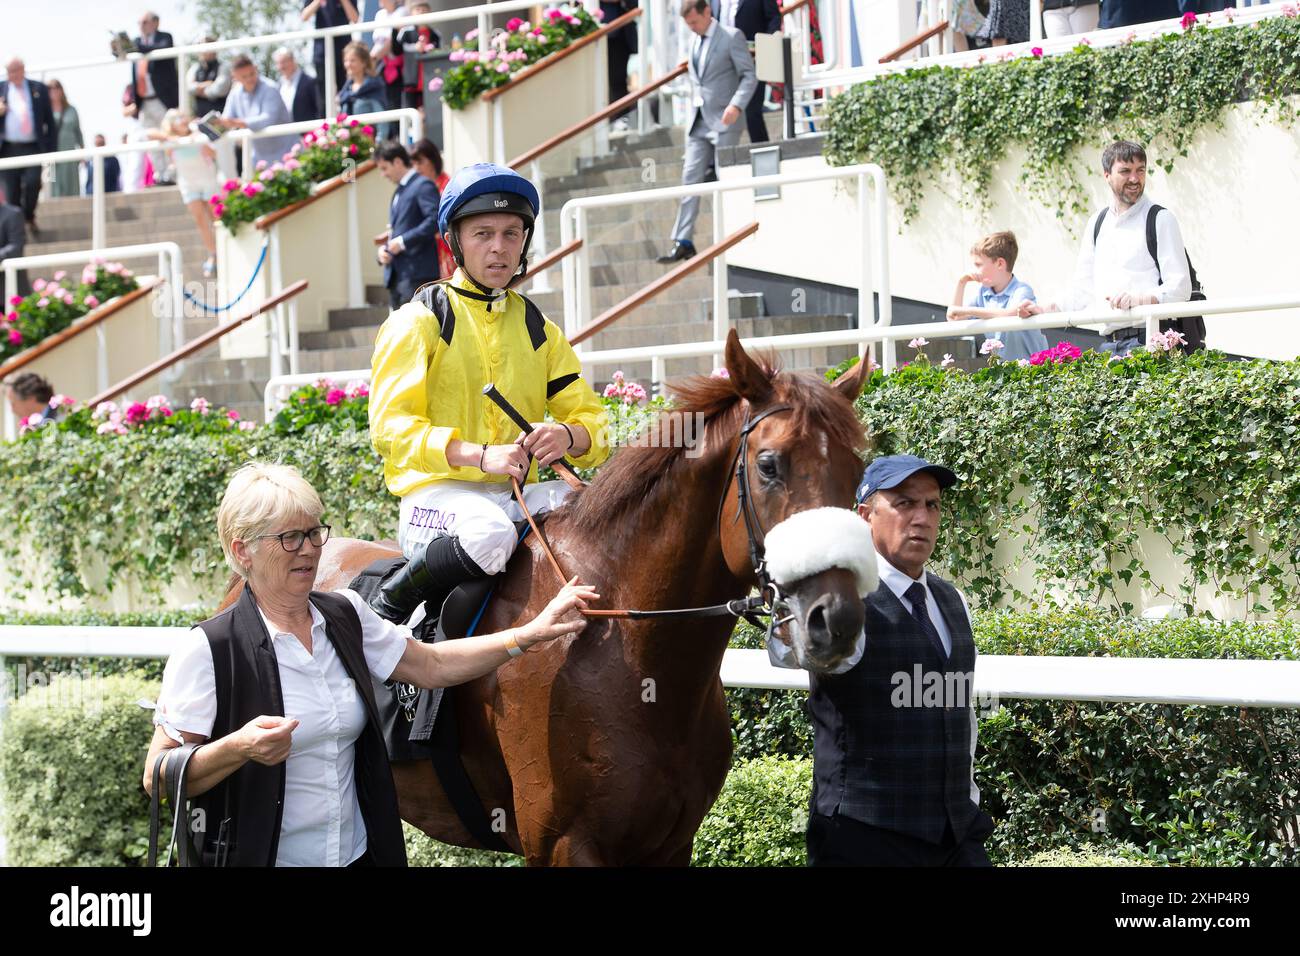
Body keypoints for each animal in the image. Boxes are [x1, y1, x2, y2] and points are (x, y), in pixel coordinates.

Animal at [224, 330, 873, 868]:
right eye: (769, 464)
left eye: (857, 465)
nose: (835, 620)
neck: (628, 640)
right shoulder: (564, 845)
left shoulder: (671, 844)